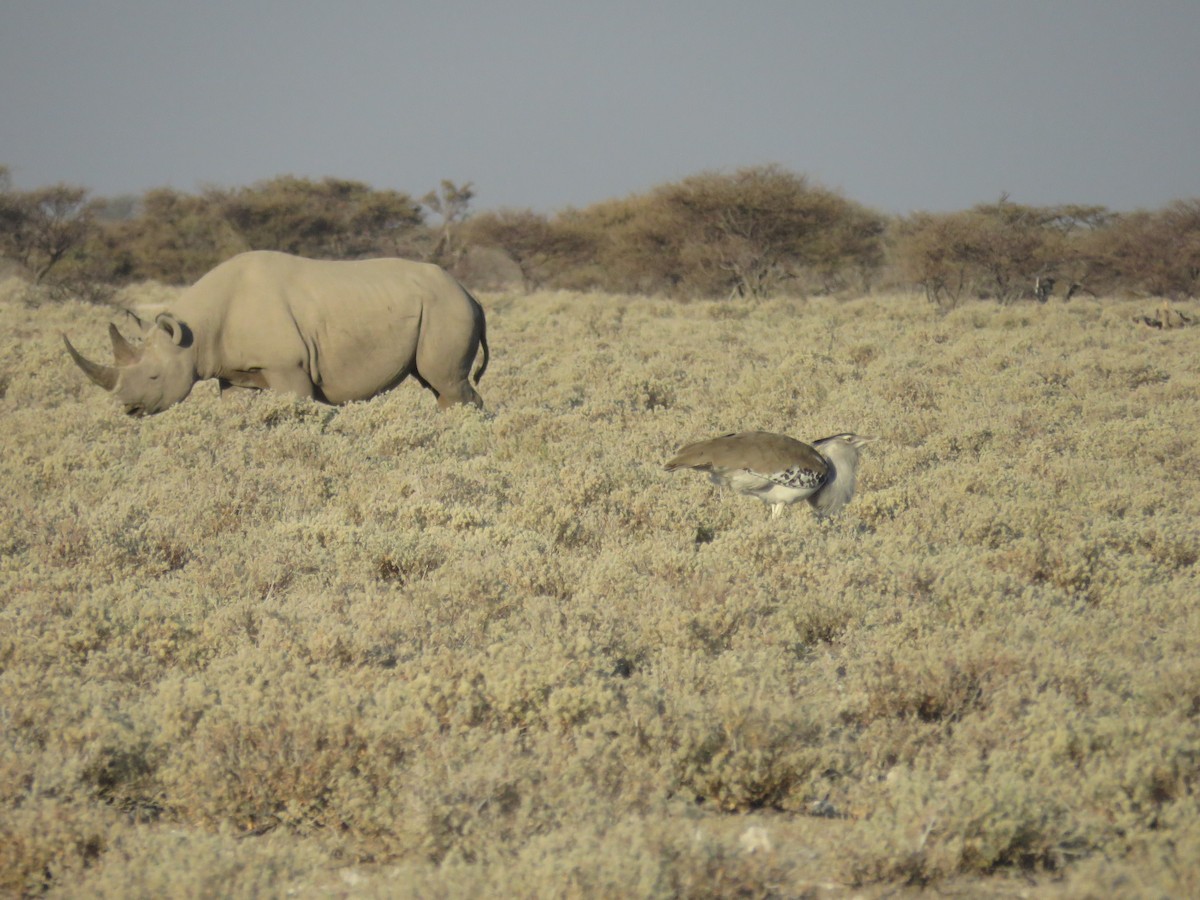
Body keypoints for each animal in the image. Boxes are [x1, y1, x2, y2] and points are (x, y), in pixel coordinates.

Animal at [63, 250, 487, 412]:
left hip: (446, 308)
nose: (128, 409)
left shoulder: (289, 369)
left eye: (153, 377)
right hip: (434, 307)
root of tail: (471, 294)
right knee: (435, 382)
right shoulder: (235, 374)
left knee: (445, 381)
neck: (194, 332)